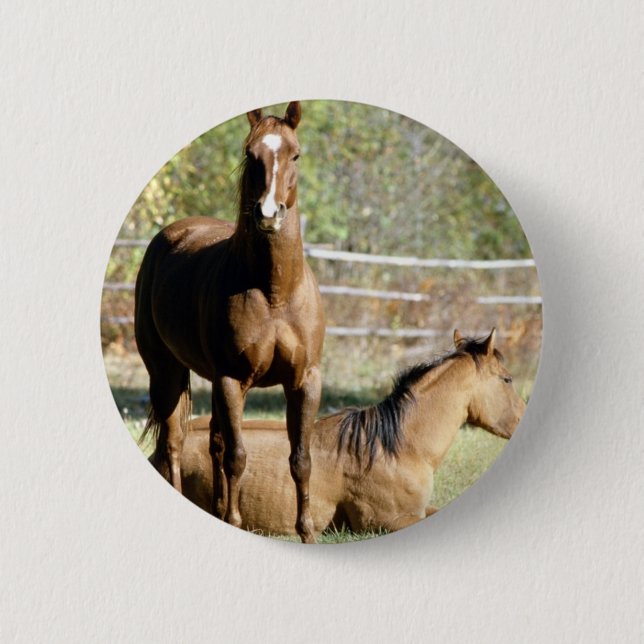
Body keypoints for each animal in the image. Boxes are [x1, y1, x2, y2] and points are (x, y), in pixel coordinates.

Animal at [135, 102, 325, 543]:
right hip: (166, 372)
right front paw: (237, 522)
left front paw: (307, 533)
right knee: (175, 444)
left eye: (295, 154)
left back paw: (219, 512)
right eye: (251, 154)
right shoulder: (231, 380)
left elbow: (301, 459)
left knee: (214, 444)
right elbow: (239, 457)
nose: (269, 214)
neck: (275, 293)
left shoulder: (305, 381)